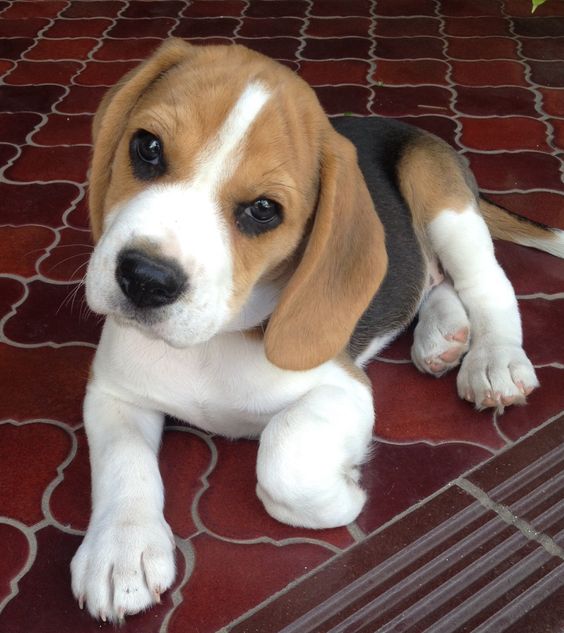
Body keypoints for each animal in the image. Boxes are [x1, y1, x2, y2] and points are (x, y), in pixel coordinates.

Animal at [70, 37, 564, 620]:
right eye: (146, 147)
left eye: (264, 210)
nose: (145, 279)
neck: (211, 343)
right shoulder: (114, 391)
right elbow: (122, 463)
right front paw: (121, 549)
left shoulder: (345, 388)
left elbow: (283, 454)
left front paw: (343, 494)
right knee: (431, 278)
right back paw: (442, 336)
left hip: (441, 197)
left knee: (486, 283)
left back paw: (494, 360)